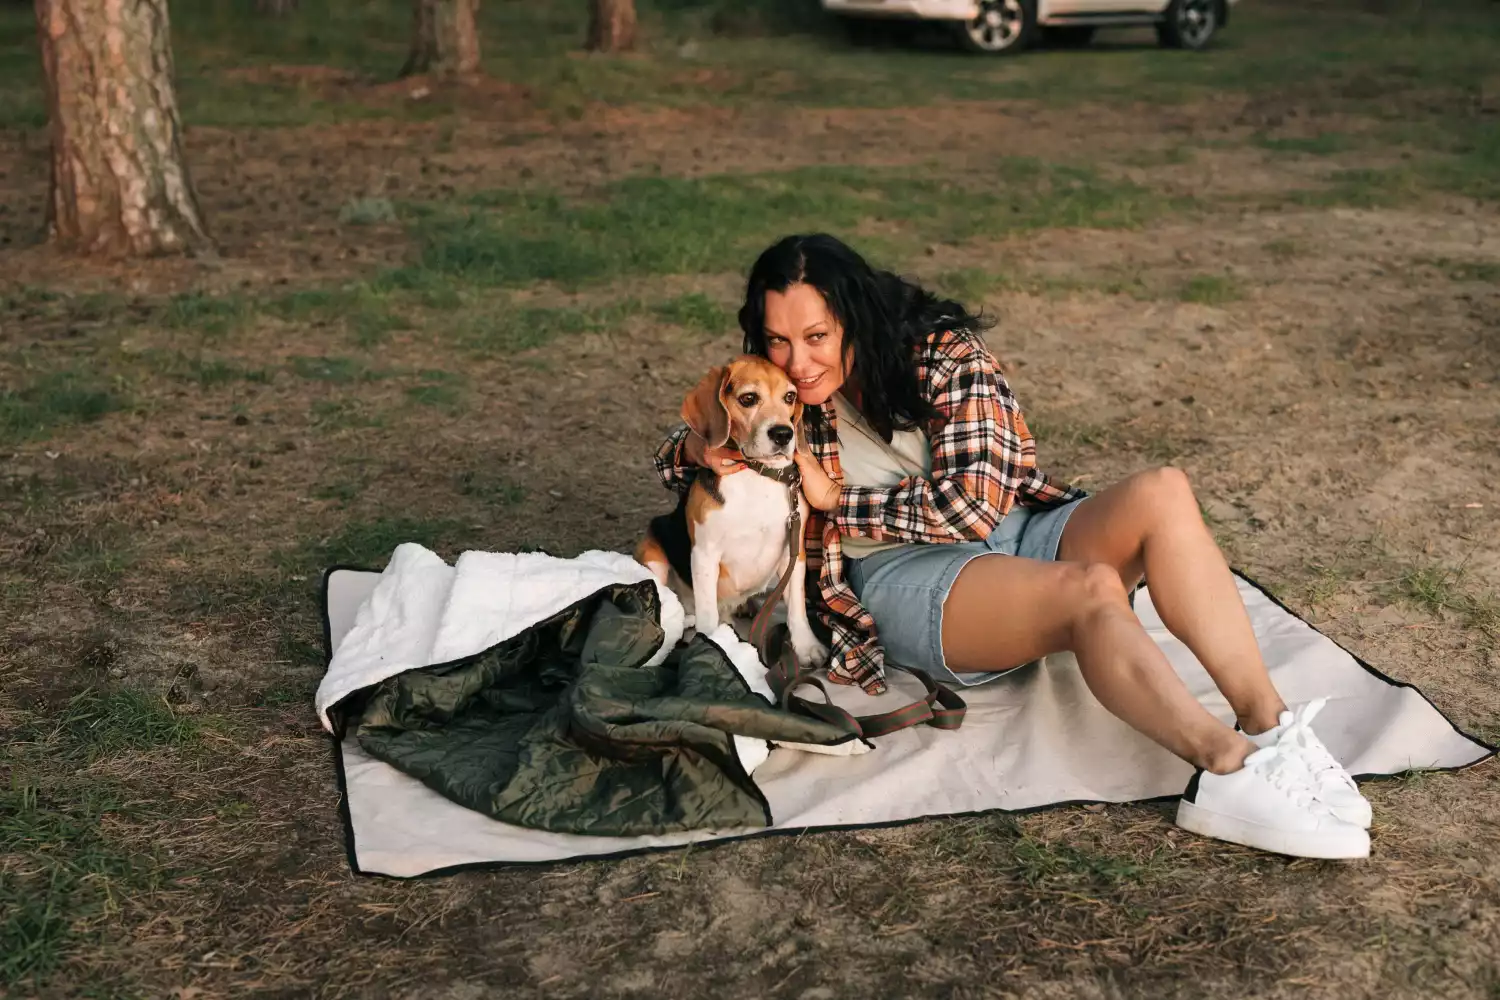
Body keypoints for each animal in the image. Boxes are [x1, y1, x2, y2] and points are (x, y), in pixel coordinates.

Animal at [636, 355, 834, 668]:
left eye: (790, 397)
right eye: (748, 398)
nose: (783, 434)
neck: (757, 474)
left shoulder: (794, 550)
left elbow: (797, 607)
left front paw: (807, 647)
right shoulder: (704, 554)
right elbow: (707, 616)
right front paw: (711, 648)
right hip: (653, 558)